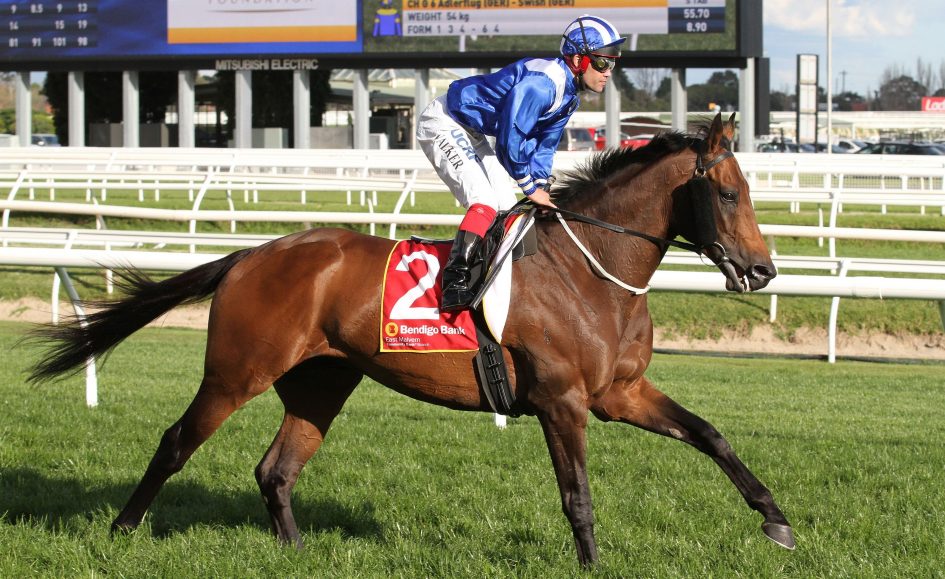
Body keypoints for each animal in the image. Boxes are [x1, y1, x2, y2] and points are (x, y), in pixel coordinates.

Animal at [28, 113, 793, 567]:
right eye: (728, 193)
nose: (763, 270)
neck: (591, 270)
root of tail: (253, 253)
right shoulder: (562, 400)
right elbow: (577, 493)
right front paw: (591, 563)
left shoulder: (621, 392)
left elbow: (710, 434)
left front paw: (776, 519)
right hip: (236, 370)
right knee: (176, 441)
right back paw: (121, 530)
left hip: (322, 380)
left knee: (275, 469)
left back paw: (296, 551)